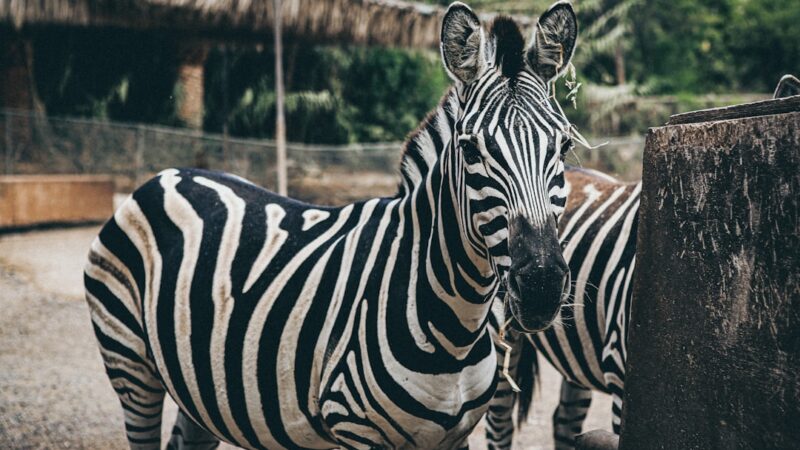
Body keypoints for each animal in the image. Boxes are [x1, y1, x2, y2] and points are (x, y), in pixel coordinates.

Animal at [83, 2, 581, 449]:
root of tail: (168, 174)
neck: (456, 326)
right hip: (131, 366)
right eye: (471, 149)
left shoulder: (454, 437)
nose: (541, 284)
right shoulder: (354, 428)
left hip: (201, 391)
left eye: (563, 146)